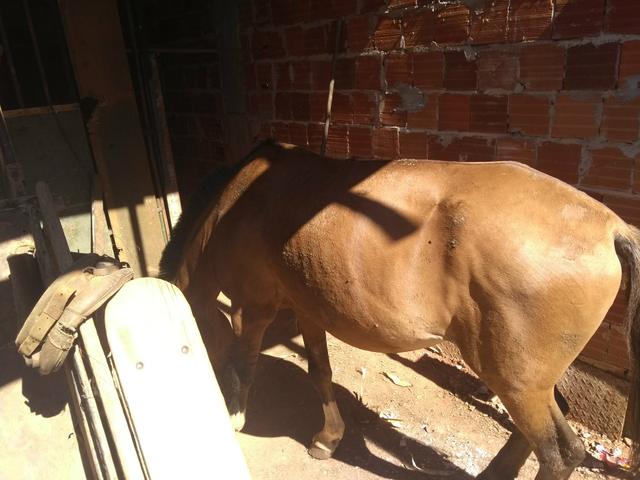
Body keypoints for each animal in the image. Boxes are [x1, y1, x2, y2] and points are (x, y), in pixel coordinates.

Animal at [159, 139, 640, 479]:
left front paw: (234, 418)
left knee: (561, 454)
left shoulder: (252, 308)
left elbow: (244, 366)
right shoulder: (307, 309)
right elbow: (320, 372)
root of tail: (611, 227)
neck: (233, 204)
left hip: (515, 379)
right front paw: (329, 438)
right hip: (528, 379)